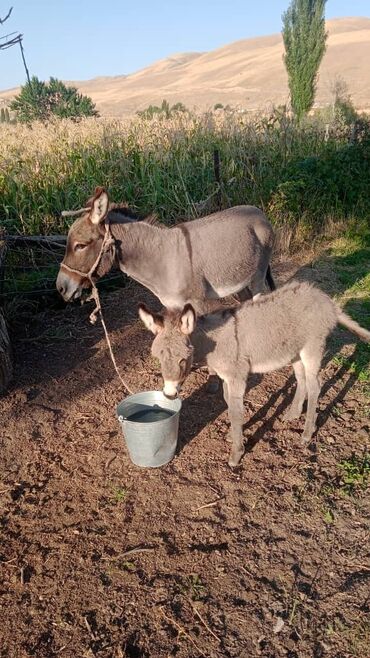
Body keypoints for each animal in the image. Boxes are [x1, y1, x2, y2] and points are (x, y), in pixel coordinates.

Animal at [139, 280, 370, 466]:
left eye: (183, 359)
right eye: (158, 358)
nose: (169, 394)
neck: (214, 341)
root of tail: (325, 299)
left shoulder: (237, 376)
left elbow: (235, 410)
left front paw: (236, 454)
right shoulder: (226, 376)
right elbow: (228, 402)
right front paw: (235, 434)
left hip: (312, 347)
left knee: (315, 386)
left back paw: (307, 433)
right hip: (294, 351)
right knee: (301, 379)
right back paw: (293, 414)